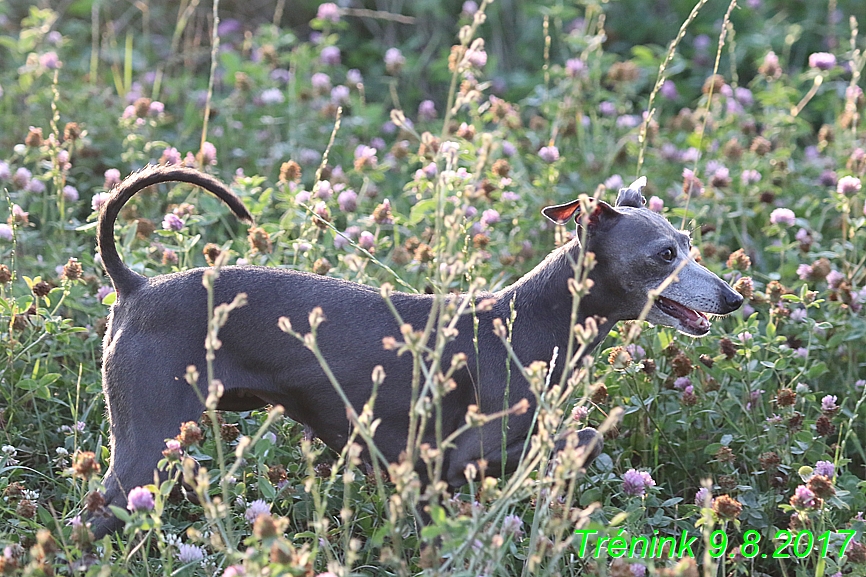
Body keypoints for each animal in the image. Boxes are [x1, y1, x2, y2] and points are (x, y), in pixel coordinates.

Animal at [89, 164, 744, 532]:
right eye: (665, 254)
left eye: (689, 242)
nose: (734, 298)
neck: (533, 318)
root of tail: (135, 286)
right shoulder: (456, 459)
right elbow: (579, 438)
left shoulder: (431, 475)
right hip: (148, 446)